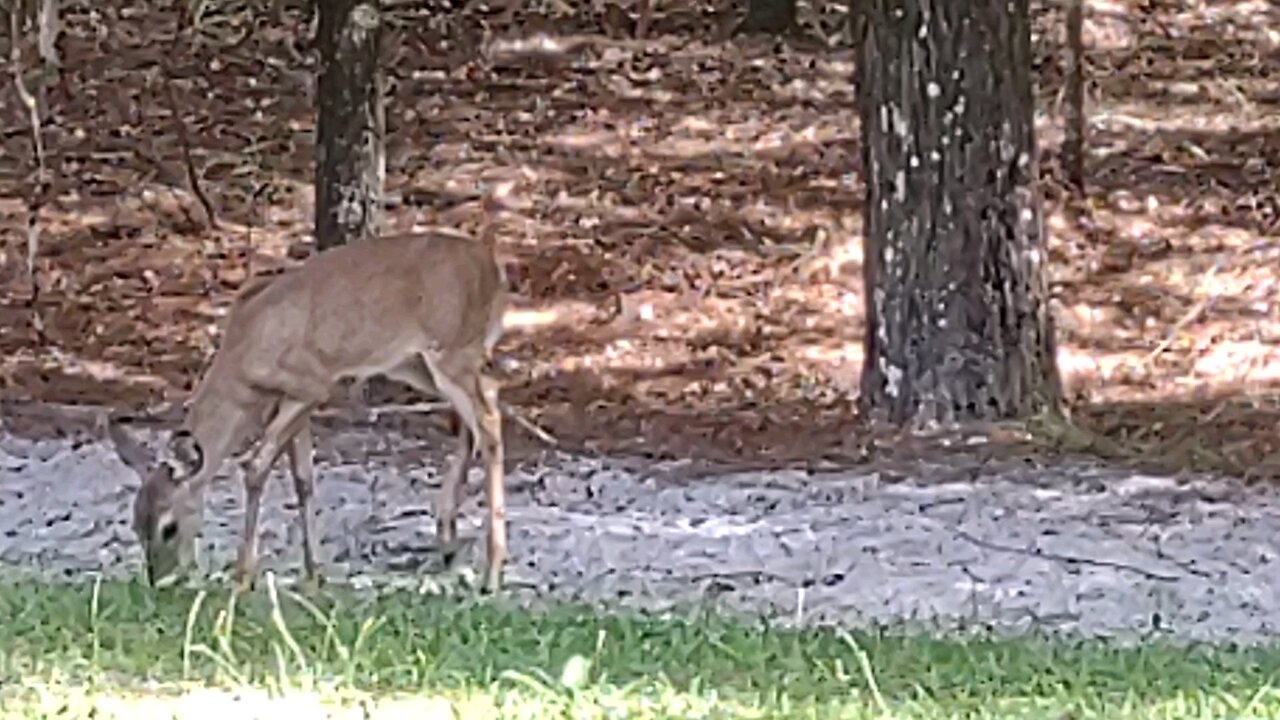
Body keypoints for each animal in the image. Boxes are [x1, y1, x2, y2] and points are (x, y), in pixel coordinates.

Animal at [106, 181, 514, 591]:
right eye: (136, 523)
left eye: (169, 527)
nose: (159, 580)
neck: (243, 356)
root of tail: (495, 272)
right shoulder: (290, 401)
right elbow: (303, 478)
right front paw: (312, 571)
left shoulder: (312, 383)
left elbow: (255, 467)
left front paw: (244, 576)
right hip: (417, 364)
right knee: (481, 410)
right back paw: (448, 541)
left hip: (452, 348)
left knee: (489, 423)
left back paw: (492, 572)